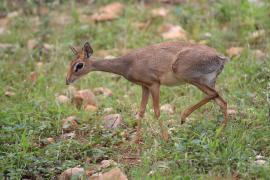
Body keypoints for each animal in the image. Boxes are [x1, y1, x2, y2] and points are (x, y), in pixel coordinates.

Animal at [65, 41, 228, 142]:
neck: (127, 64)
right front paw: (135, 141)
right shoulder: (145, 87)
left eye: (79, 65)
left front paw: (165, 138)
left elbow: (156, 111)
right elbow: (142, 111)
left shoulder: (154, 84)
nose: (67, 80)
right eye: (70, 63)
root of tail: (220, 58)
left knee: (215, 95)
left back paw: (183, 117)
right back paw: (220, 132)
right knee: (222, 101)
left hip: (191, 78)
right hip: (206, 82)